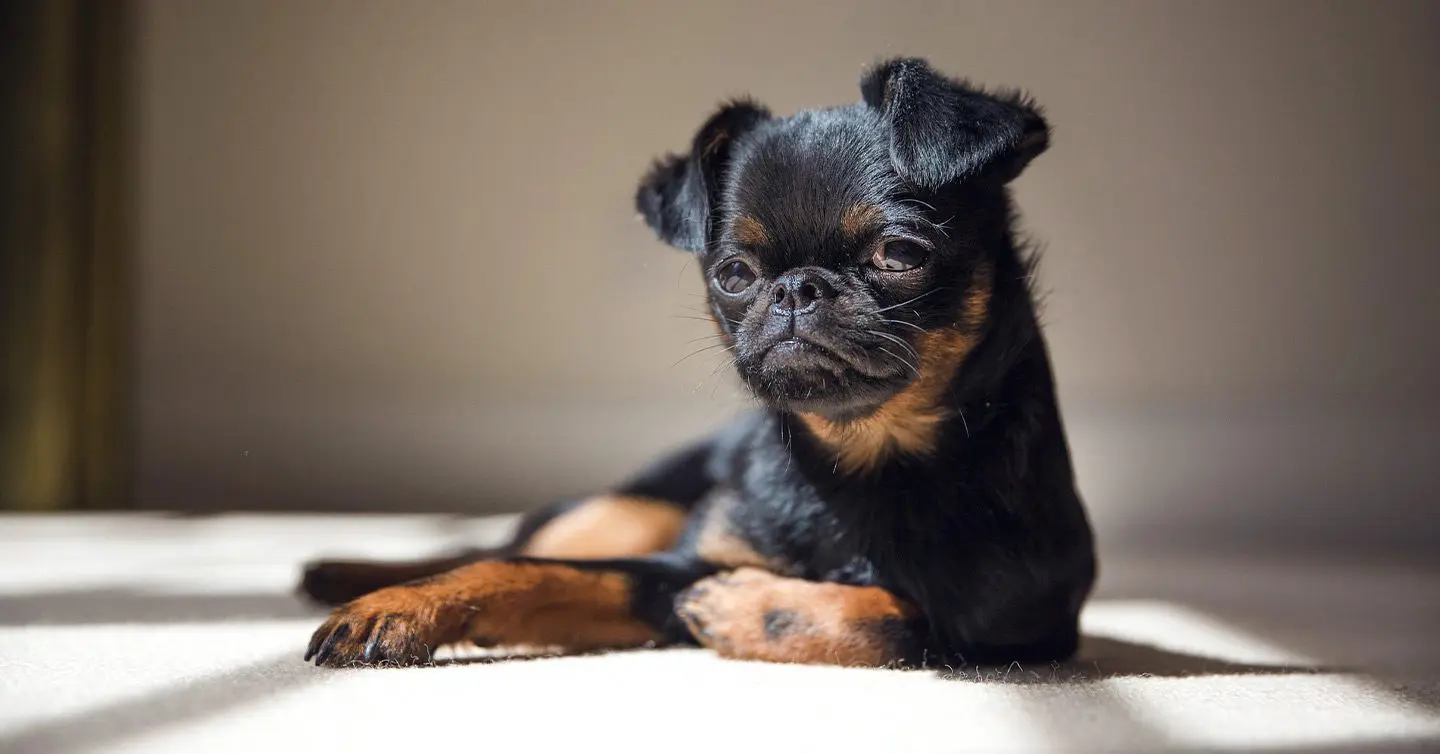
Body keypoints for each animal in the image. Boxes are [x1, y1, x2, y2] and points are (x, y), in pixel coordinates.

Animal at [300, 58, 1088, 667]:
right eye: (733, 275)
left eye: (899, 254)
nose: (795, 288)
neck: (861, 459)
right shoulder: (665, 567)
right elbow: (524, 571)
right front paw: (397, 608)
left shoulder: (1022, 627)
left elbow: (900, 614)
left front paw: (748, 606)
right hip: (625, 511)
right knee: (507, 539)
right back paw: (343, 572)